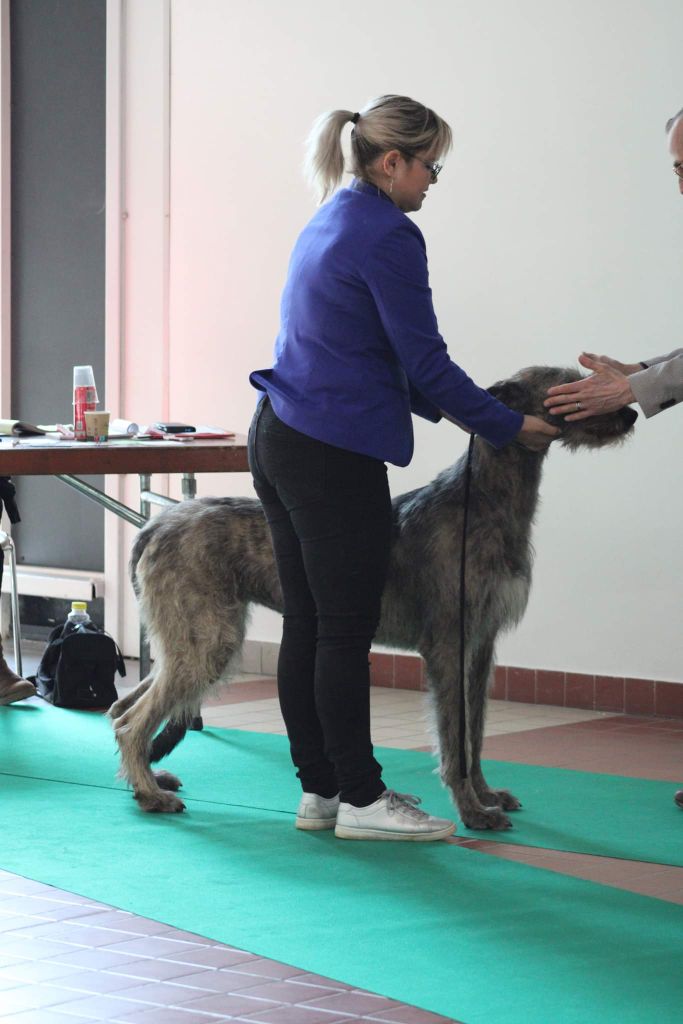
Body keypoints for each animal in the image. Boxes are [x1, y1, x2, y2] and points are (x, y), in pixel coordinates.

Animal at [109, 368, 638, 831]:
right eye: (570, 383)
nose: (630, 412)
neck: (484, 501)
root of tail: (158, 524)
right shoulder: (449, 645)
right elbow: (453, 740)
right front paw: (472, 810)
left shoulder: (482, 646)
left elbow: (476, 733)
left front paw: (486, 793)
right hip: (207, 639)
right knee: (133, 719)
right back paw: (151, 793)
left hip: (186, 639)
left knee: (122, 708)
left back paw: (147, 780)